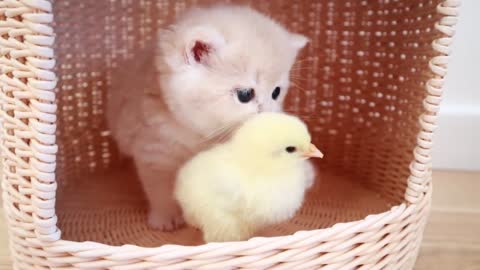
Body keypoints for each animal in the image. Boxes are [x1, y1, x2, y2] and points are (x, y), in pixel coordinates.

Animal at [108, 5, 312, 231]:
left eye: (276, 92)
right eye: (245, 95)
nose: (268, 114)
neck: (199, 134)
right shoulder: (154, 152)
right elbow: (160, 189)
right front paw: (166, 216)